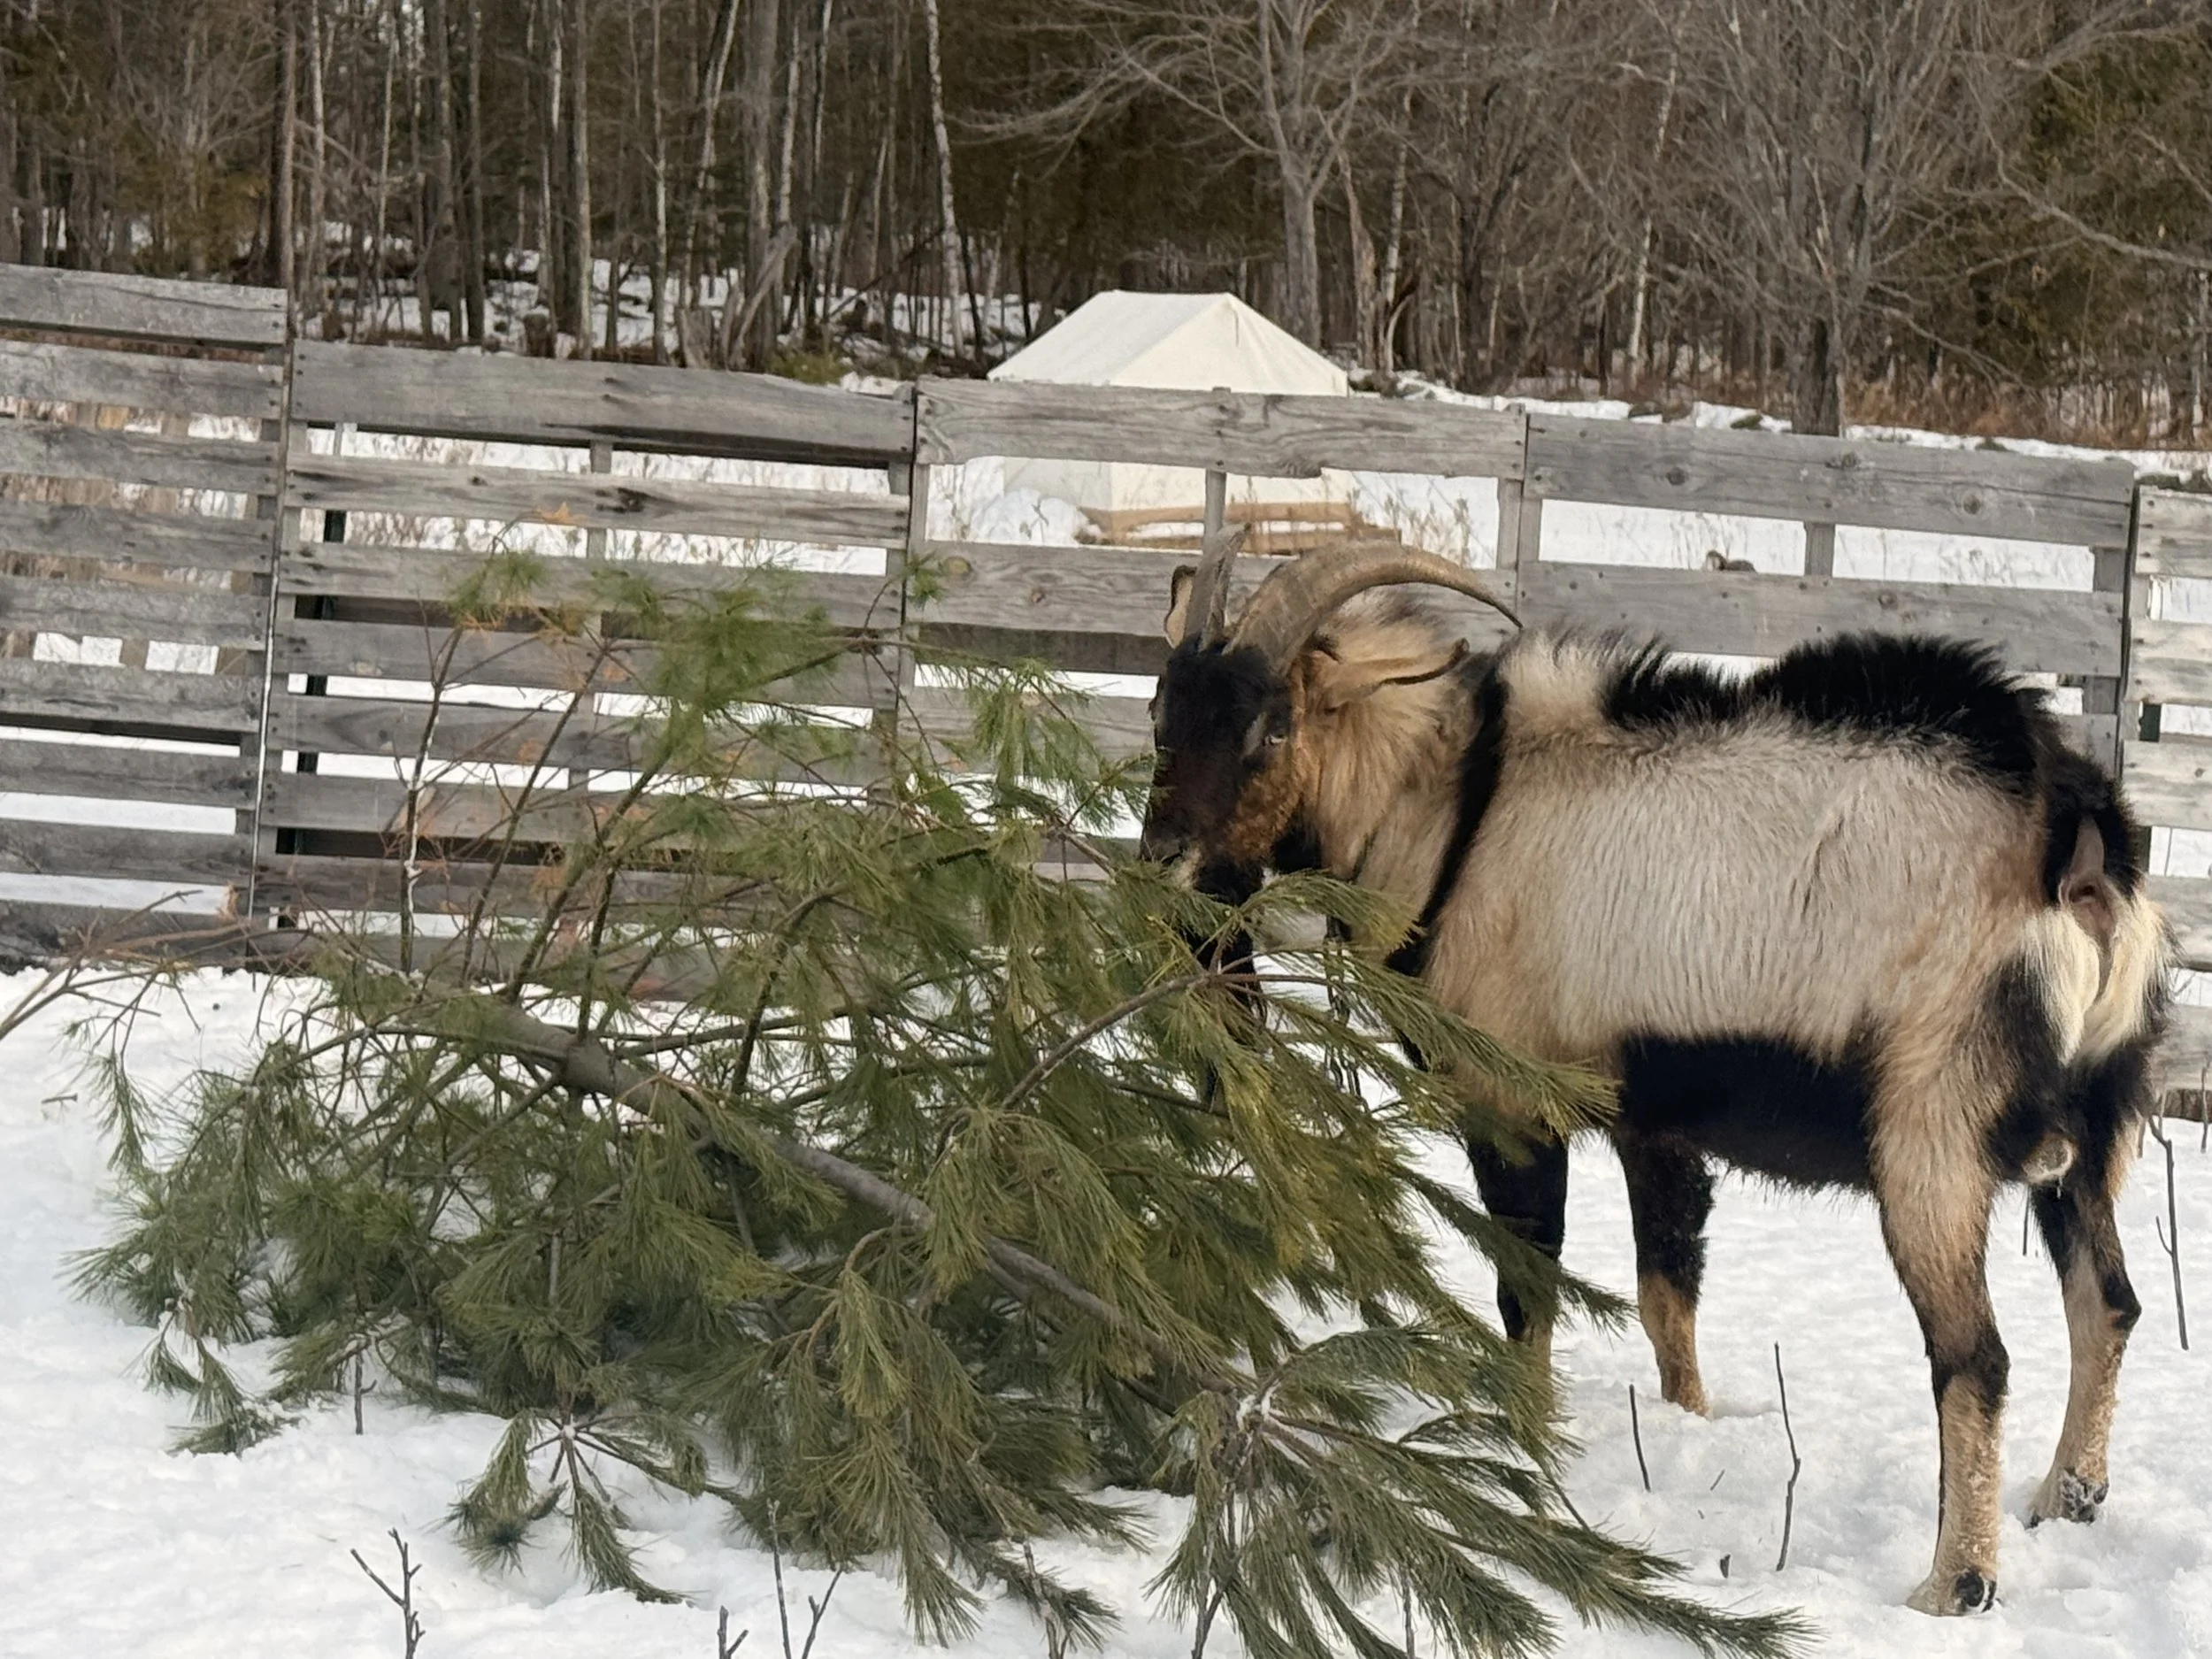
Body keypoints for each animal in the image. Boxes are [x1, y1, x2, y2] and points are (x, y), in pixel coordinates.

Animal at [1138, 541, 2170, 1616]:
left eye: (1270, 724)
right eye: (1162, 711)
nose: (1165, 860)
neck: (1459, 807)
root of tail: (2076, 841)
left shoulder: (1515, 1103)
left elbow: (1527, 1289)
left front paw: (1527, 1438)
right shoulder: (1654, 1123)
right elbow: (1666, 1297)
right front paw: (1687, 1430)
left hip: (1933, 1136)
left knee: (1976, 1358)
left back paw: (1954, 1583)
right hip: (2098, 1130)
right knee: (2108, 1303)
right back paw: (2066, 1498)